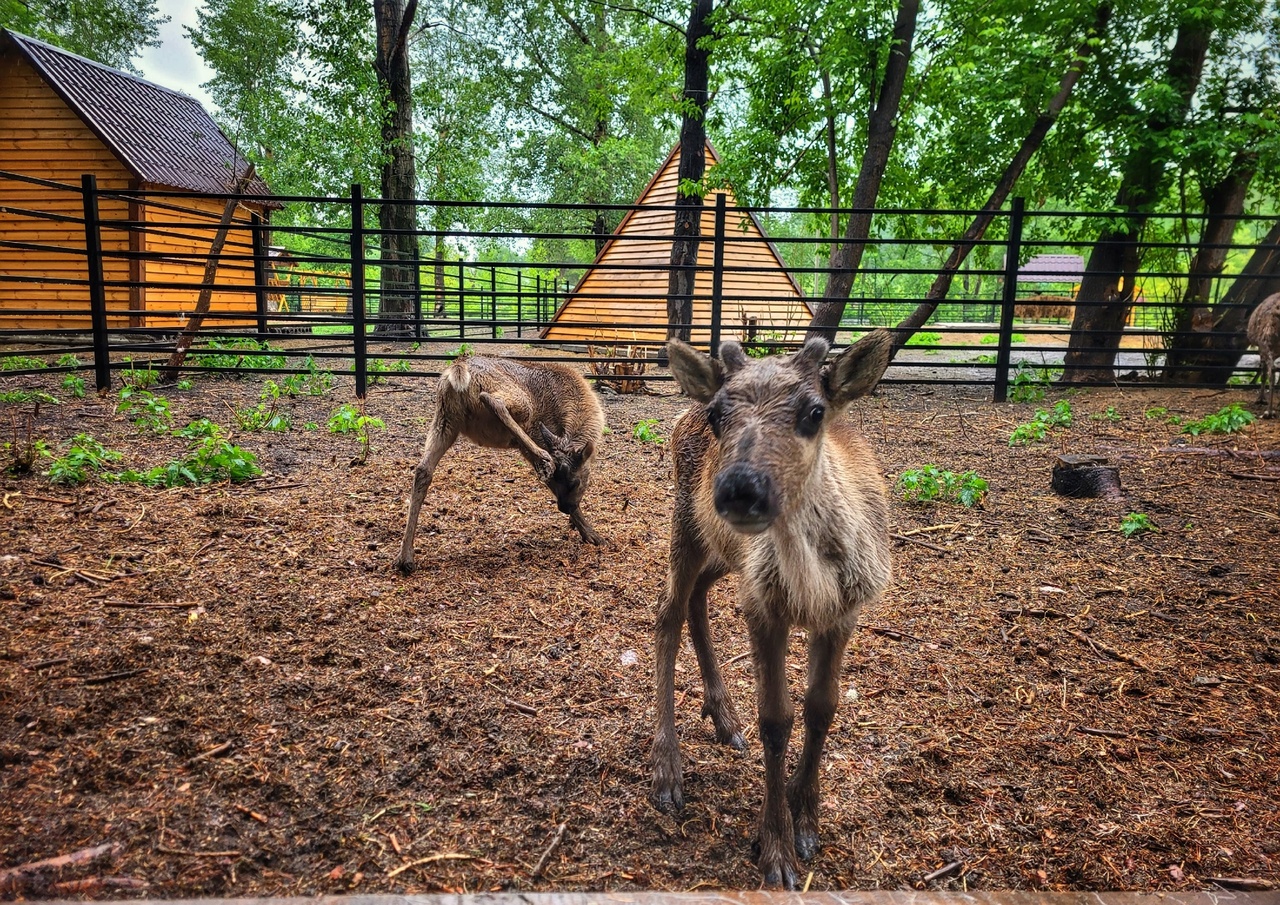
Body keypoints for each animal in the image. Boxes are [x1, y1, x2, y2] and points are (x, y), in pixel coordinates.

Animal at [394, 355, 604, 573]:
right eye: (576, 482)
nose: (565, 508)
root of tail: (458, 368)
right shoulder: (536, 434)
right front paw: (592, 534)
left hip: (445, 421)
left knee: (423, 470)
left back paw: (405, 556)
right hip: (516, 402)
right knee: (492, 400)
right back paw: (544, 458)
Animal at [650, 330, 890, 890]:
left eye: (815, 411)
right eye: (719, 414)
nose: (740, 488)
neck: (811, 585)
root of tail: (680, 415)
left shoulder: (842, 613)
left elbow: (822, 707)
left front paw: (807, 820)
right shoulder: (765, 609)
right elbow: (777, 719)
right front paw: (776, 848)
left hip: (725, 552)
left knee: (696, 599)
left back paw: (723, 716)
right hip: (686, 525)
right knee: (667, 614)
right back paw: (668, 767)